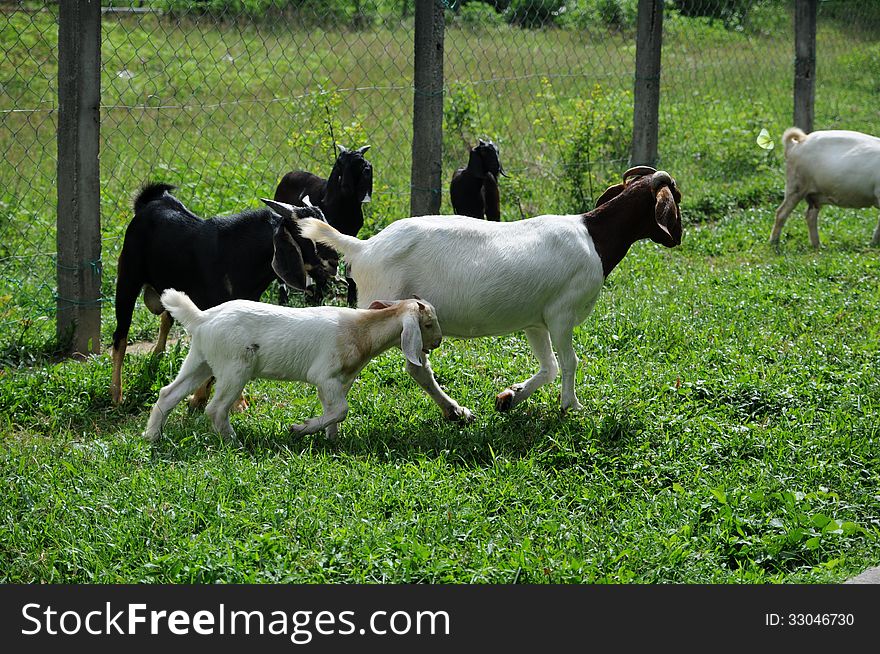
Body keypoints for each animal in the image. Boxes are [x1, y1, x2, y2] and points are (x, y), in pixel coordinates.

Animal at [149, 290, 446, 444]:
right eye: (428, 324)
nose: (438, 342)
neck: (362, 331)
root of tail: (201, 319)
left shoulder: (337, 382)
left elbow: (333, 411)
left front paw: (332, 441)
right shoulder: (325, 375)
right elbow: (341, 410)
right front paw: (300, 429)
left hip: (200, 359)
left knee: (168, 393)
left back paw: (152, 436)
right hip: (234, 368)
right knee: (216, 408)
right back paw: (234, 442)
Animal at [294, 167, 680, 422]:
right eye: (674, 199)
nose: (677, 237)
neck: (594, 237)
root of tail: (363, 248)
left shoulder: (536, 321)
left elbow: (550, 366)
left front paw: (509, 398)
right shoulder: (562, 313)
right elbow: (570, 362)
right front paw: (572, 406)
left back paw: (454, 411)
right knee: (411, 365)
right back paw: (452, 410)